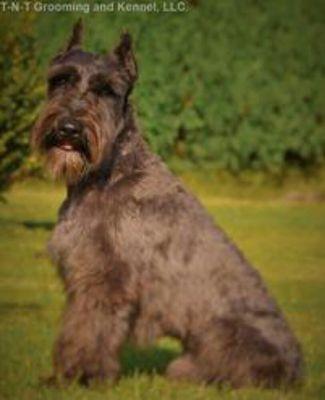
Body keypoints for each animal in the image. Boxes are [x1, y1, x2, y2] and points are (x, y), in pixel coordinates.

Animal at [31, 21, 302, 388]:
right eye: (61, 80)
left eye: (106, 90)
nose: (69, 128)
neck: (108, 171)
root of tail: (298, 368)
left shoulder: (103, 278)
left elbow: (89, 329)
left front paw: (81, 376)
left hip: (222, 334)